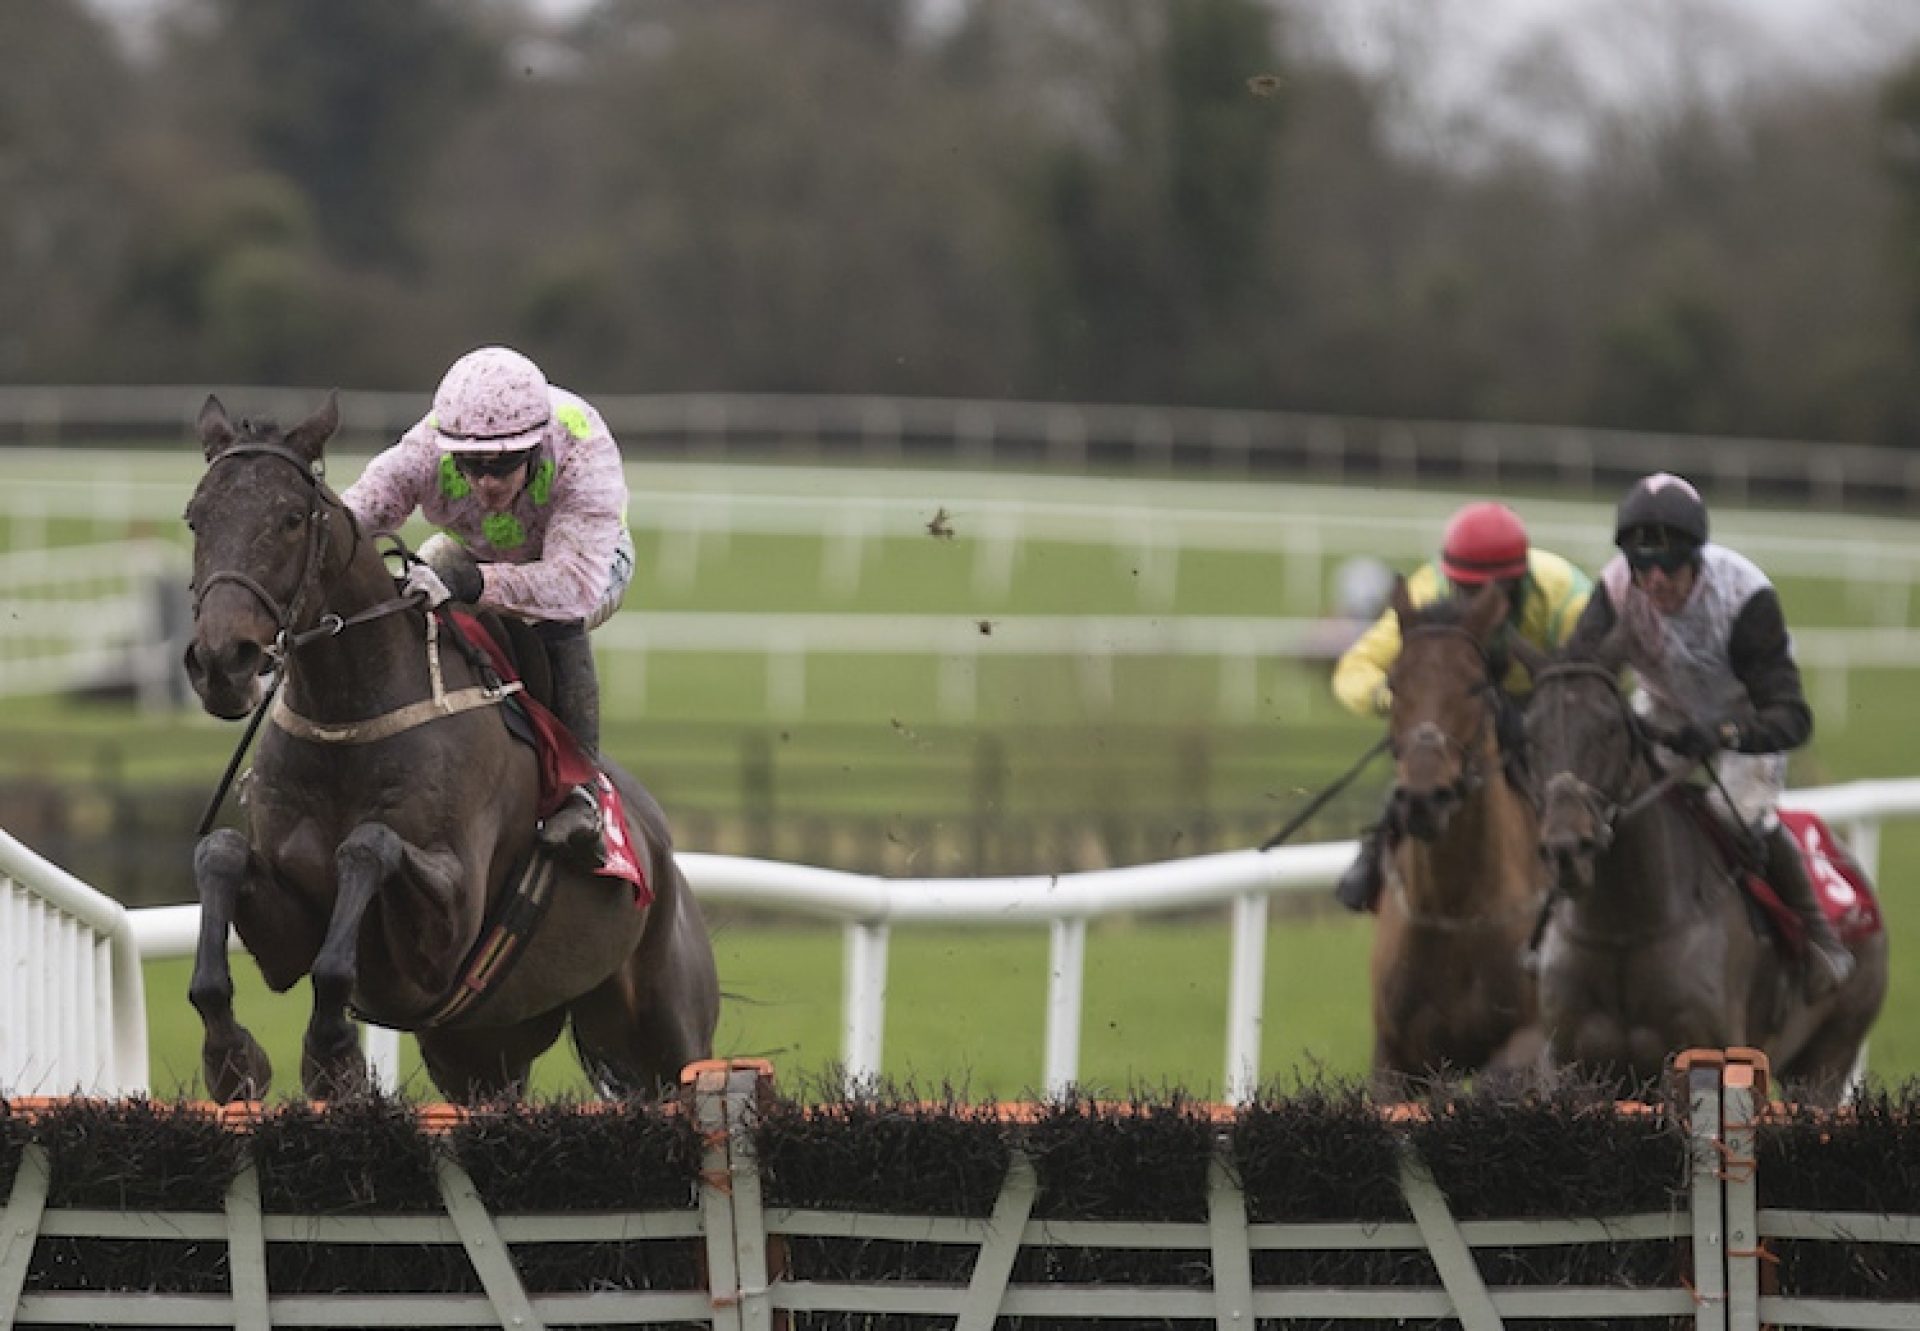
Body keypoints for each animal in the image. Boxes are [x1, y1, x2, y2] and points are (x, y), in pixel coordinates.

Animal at [183, 393, 721, 1098]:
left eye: (292, 517)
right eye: (195, 516)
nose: (223, 662)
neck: (349, 721)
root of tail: (663, 849)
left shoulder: (447, 929)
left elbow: (369, 846)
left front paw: (332, 1054)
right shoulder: (289, 933)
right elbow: (219, 854)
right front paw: (230, 1055)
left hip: (666, 1034)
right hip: (481, 1049)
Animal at [1367, 587, 1543, 1098]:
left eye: (1475, 686)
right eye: (1394, 683)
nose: (1425, 798)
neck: (1457, 910)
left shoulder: (1532, 1036)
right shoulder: (1394, 1056)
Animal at [1520, 633, 1881, 1098]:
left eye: (1611, 727)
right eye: (1529, 734)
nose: (1567, 847)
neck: (1624, 933)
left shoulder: (1711, 1060)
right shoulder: (1571, 1064)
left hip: (1829, 1056)